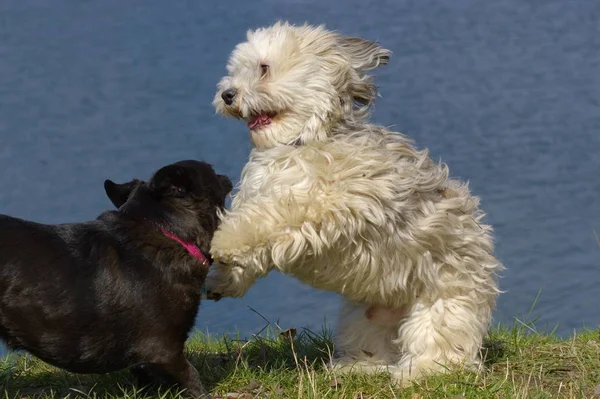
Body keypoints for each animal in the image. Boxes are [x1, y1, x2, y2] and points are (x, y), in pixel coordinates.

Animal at [0, 161, 232, 398]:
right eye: (212, 171)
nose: (225, 175)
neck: (168, 233)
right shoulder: (164, 350)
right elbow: (193, 379)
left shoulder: (148, 361)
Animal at [206, 21, 502, 384]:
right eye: (234, 72)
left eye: (264, 68)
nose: (227, 94)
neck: (299, 142)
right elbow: (252, 233)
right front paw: (223, 277)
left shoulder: (329, 201)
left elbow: (269, 218)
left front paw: (226, 242)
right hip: (364, 314)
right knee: (372, 343)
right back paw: (357, 367)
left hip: (445, 300)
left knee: (441, 342)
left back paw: (422, 372)